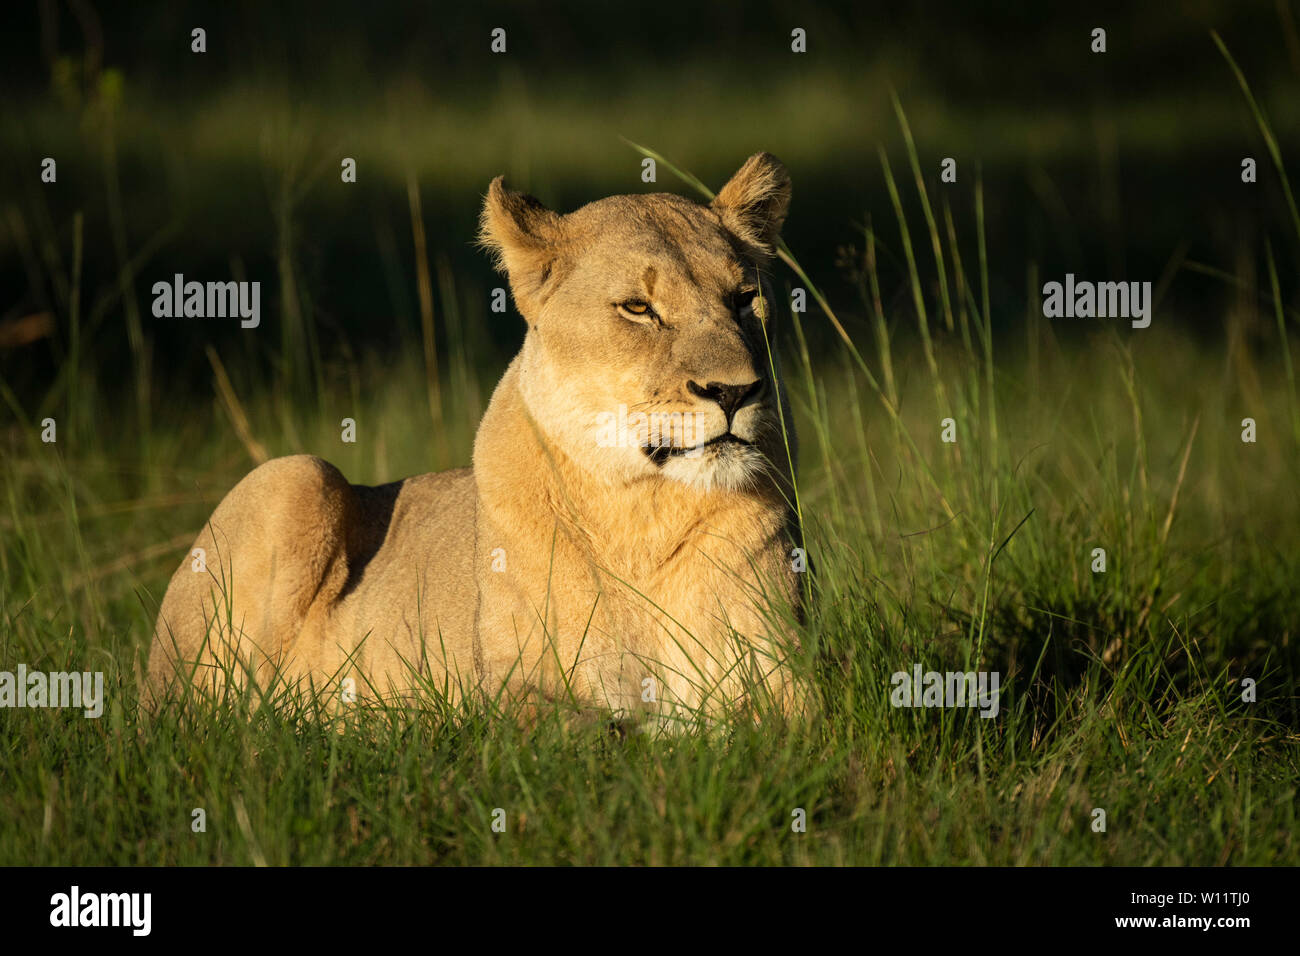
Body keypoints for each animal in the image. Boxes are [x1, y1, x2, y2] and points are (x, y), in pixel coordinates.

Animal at [145, 152, 804, 725]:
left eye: (744, 299)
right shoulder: (507, 689)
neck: (643, 510)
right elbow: (595, 731)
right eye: (638, 308)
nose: (734, 392)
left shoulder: (786, 677)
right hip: (298, 474)